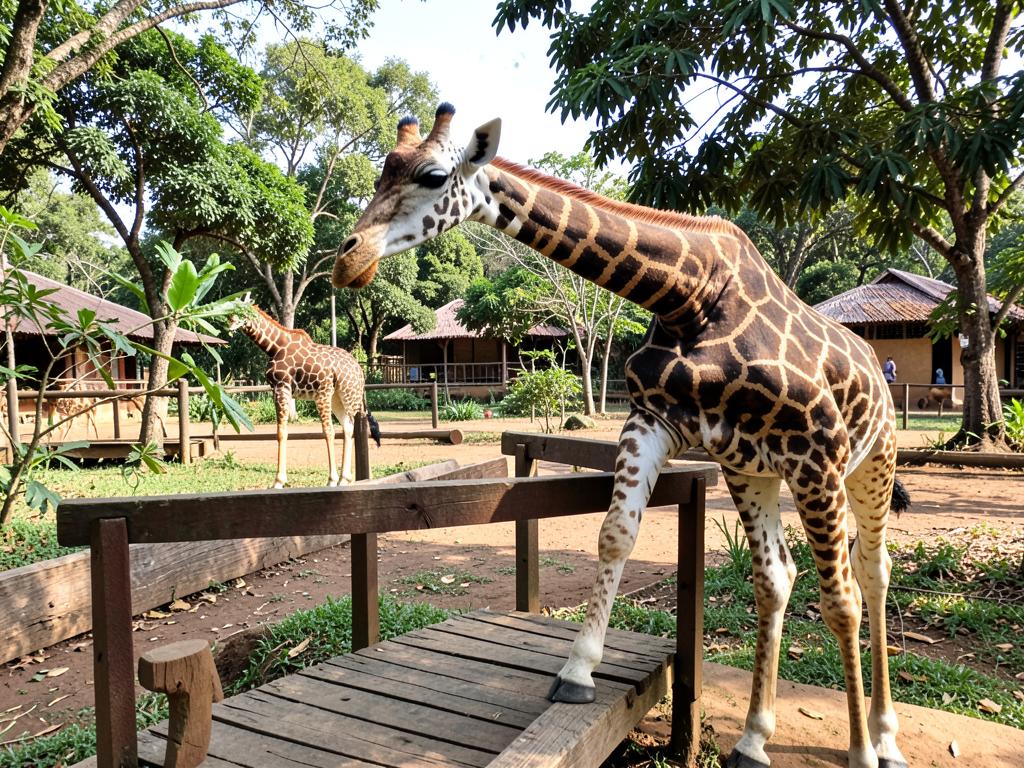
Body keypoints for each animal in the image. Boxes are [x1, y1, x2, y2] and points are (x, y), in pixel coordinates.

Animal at [228, 303, 379, 488]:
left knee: (347, 427)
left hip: (345, 397)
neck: (275, 348)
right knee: (348, 427)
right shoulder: (282, 390)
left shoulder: (285, 388)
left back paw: (342, 479)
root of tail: (360, 371)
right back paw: (344, 478)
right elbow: (283, 431)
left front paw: (279, 481)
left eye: (242, 311)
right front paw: (280, 480)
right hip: (337, 398)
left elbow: (311, 431)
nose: (230, 321)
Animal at [331, 104, 910, 768]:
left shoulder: (817, 454)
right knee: (777, 578)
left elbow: (840, 602)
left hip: (870, 464)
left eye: (431, 176)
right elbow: (615, 534)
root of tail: (876, 365)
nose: (346, 258)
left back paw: (883, 738)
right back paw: (753, 738)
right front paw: (578, 671)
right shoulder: (655, 421)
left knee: (870, 573)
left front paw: (861, 753)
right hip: (758, 471)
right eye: (382, 171)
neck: (689, 296)